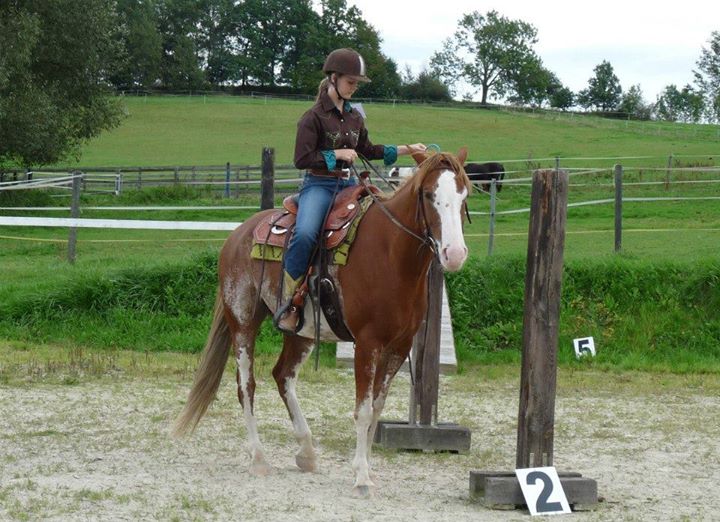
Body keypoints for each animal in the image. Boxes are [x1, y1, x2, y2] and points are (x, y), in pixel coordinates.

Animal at [171, 147, 470, 496]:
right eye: (428, 194)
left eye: (464, 194)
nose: (455, 254)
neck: (391, 254)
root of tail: (238, 235)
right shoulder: (367, 344)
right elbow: (363, 411)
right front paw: (361, 477)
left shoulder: (399, 346)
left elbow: (377, 409)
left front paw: (367, 468)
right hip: (243, 321)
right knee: (246, 385)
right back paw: (259, 458)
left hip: (300, 332)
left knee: (283, 376)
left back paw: (307, 453)